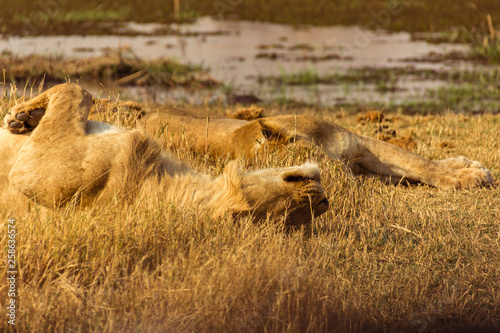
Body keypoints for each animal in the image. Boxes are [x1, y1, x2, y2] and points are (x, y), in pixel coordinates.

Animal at [0, 84, 328, 227]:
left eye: (289, 211)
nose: (323, 201)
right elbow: (76, 91)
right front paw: (25, 117)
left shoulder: (36, 171)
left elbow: (75, 90)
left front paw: (21, 114)